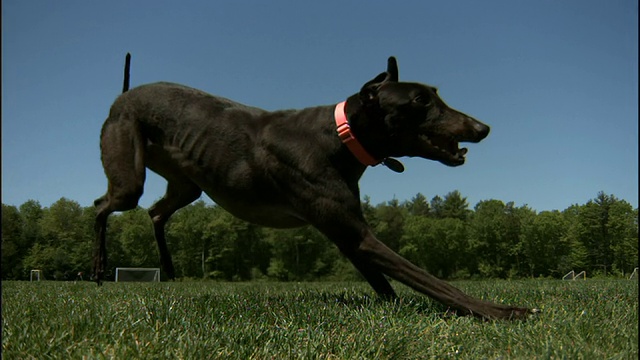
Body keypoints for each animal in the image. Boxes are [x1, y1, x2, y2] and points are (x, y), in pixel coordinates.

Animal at [94, 54, 528, 320]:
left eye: (435, 94)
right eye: (420, 101)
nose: (482, 128)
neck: (340, 136)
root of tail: (123, 94)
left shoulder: (346, 233)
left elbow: (385, 282)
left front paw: (395, 307)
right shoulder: (355, 234)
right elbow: (429, 280)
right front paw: (503, 311)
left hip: (187, 184)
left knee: (155, 211)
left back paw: (167, 268)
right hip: (129, 172)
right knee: (102, 204)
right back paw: (98, 270)